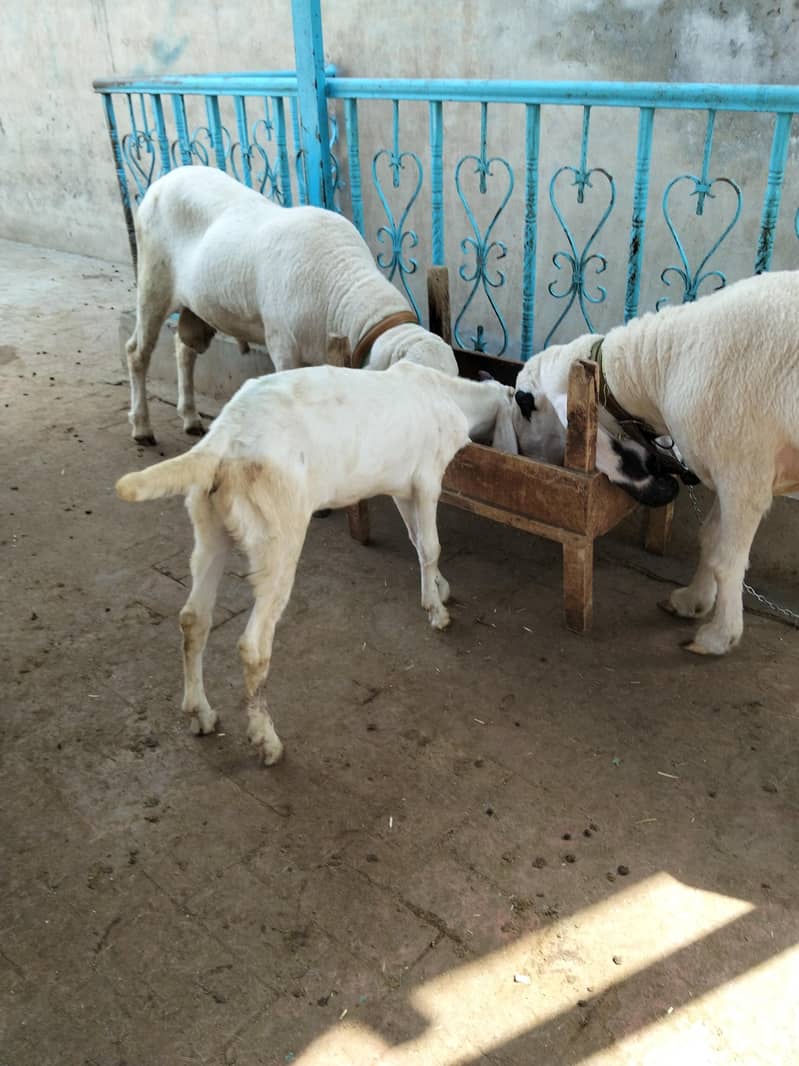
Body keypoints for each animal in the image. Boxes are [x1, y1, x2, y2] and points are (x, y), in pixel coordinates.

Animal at [116, 360, 517, 762]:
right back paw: (267, 740)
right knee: (253, 646)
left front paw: (437, 587)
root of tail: (224, 439)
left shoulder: (402, 487)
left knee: (193, 619)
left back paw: (200, 713)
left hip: (209, 524)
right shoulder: (428, 480)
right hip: (277, 534)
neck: (449, 394)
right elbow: (432, 546)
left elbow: (417, 541)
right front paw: (438, 612)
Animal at [125, 165, 458, 444]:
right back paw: (142, 426)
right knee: (137, 352)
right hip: (153, 284)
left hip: (198, 305)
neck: (344, 289)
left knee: (184, 349)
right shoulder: (283, 347)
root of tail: (164, 179)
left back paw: (190, 417)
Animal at [510, 271, 799, 655]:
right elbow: (710, 539)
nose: (526, 457)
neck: (658, 365)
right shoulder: (728, 470)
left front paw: (718, 636)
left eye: (526, 407)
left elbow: (727, 559)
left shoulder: (743, 475)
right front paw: (692, 600)